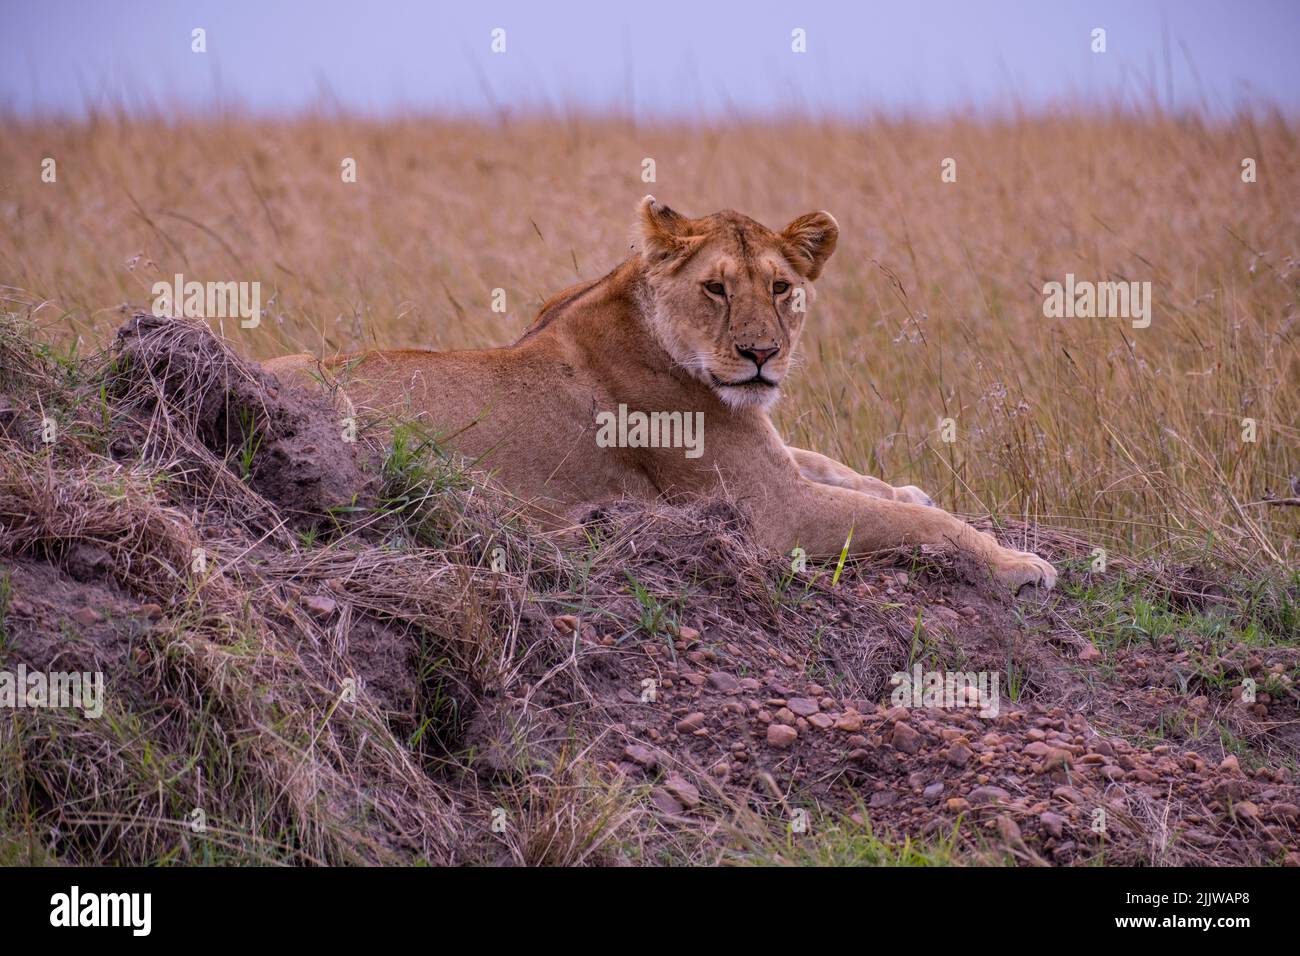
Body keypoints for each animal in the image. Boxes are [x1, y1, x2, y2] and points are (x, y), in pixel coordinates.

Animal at [264, 197, 1056, 592]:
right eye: (716, 288)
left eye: (781, 287)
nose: (762, 354)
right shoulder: (775, 514)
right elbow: (926, 524)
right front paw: (1018, 565)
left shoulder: (773, 455)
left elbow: (839, 467)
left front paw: (907, 487)